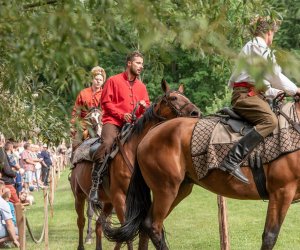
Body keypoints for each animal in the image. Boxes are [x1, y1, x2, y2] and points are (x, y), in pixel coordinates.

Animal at [69, 80, 202, 250]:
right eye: (173, 98)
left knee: (99, 224)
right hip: (80, 196)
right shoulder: (120, 198)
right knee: (81, 221)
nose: (196, 113)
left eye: (185, 97)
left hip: (107, 202)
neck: (134, 150)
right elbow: (128, 233)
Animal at [102, 96, 300, 250]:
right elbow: (269, 237)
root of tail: (149, 134)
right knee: (153, 226)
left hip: (179, 190)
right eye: (173, 98)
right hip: (165, 190)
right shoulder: (282, 192)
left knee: (145, 226)